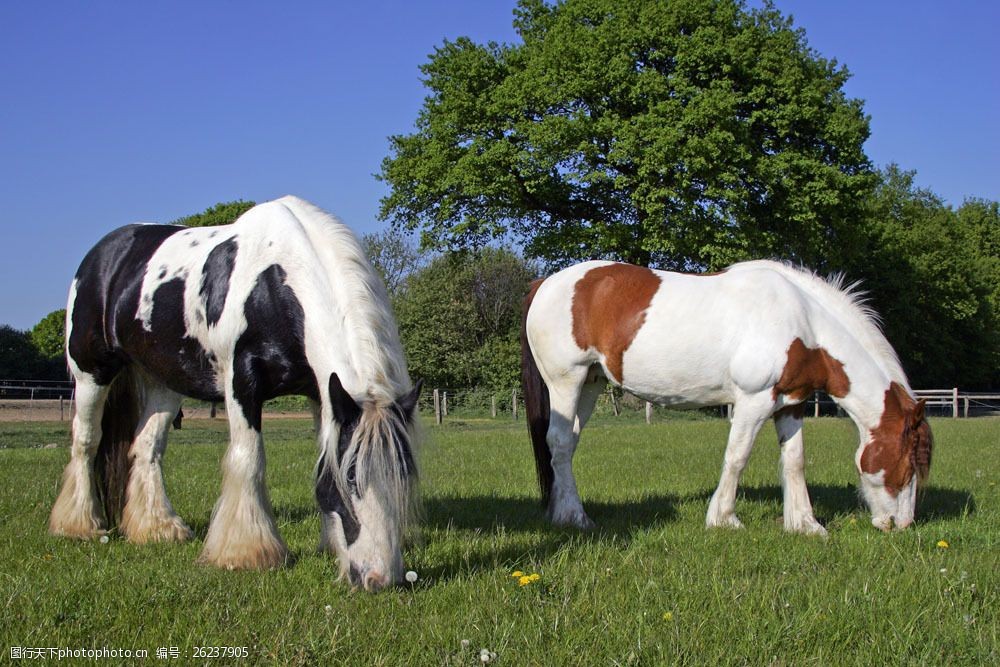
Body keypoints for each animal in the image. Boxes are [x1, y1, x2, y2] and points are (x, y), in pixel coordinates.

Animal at [49, 196, 422, 592]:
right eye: (351, 478)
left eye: (403, 473)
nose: (379, 578)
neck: (273, 283)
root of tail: (102, 254)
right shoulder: (242, 384)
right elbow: (249, 458)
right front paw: (246, 552)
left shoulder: (322, 394)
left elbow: (322, 463)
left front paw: (329, 545)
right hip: (91, 372)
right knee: (86, 441)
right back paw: (78, 525)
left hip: (163, 382)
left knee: (147, 447)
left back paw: (157, 529)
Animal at [520, 258, 932, 536]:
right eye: (909, 463)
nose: (901, 524)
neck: (802, 322)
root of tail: (546, 282)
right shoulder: (753, 401)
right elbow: (737, 456)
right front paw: (724, 519)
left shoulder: (793, 404)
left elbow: (795, 461)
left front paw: (804, 524)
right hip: (567, 381)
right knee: (559, 443)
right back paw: (575, 517)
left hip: (590, 384)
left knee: (567, 446)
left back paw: (560, 510)